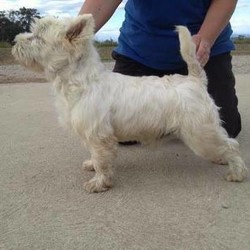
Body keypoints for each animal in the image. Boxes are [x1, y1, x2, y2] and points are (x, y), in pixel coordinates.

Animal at [11, 14, 246, 192]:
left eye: (38, 37)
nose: (14, 41)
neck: (82, 79)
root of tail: (194, 80)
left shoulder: (99, 135)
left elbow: (102, 161)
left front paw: (99, 183)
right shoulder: (92, 135)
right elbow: (95, 156)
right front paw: (91, 166)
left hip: (200, 134)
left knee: (231, 146)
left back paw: (236, 173)